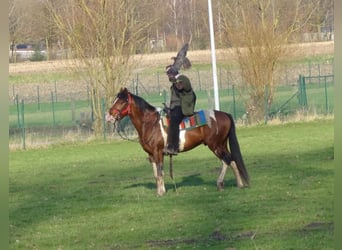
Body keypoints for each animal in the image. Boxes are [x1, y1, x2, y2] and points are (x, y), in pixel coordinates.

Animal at [105, 87, 250, 195]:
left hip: (215, 145)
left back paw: (220, 184)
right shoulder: (151, 155)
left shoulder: (158, 152)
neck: (150, 123)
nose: (108, 116)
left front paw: (161, 192)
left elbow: (160, 172)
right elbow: (156, 174)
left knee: (226, 160)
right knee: (232, 160)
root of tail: (225, 115)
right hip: (222, 144)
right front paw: (159, 191)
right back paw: (239, 184)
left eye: (122, 102)